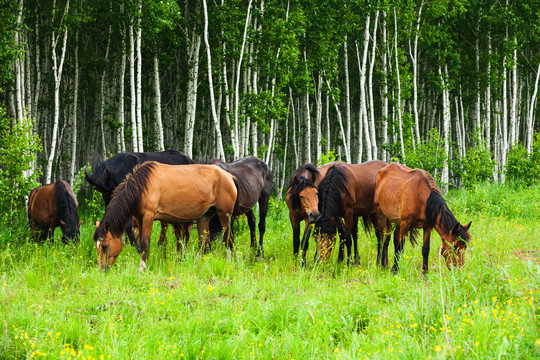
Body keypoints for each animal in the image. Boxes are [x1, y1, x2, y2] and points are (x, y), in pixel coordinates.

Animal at [94, 162, 237, 270]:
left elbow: (144, 241)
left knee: (228, 237)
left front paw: (142, 267)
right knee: (204, 242)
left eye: (105, 246)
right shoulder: (140, 219)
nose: (101, 269)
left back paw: (229, 261)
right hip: (204, 217)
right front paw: (147, 261)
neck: (141, 187)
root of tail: (228, 176)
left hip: (225, 214)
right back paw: (195, 263)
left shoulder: (149, 216)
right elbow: (143, 241)